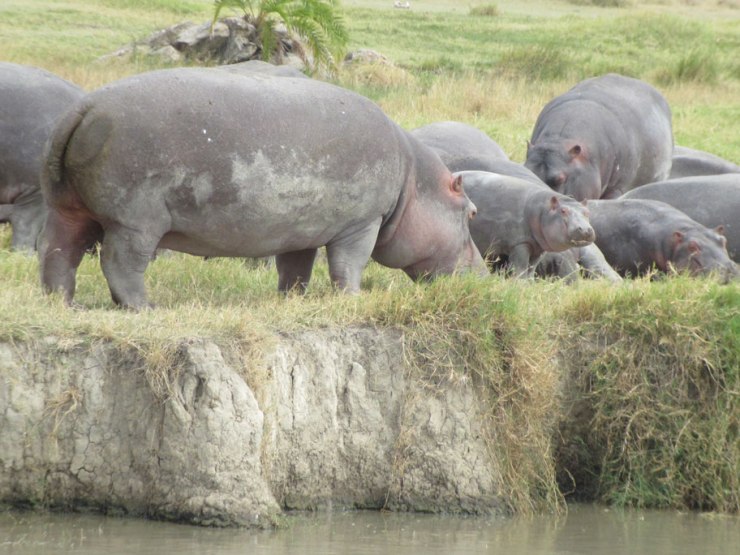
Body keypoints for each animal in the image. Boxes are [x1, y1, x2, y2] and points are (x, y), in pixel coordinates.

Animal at [39, 68, 486, 308]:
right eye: (471, 212)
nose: (485, 275)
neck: (414, 181)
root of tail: (83, 109)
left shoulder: (302, 229)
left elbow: (296, 270)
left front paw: (293, 300)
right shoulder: (363, 222)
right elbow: (349, 266)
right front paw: (353, 301)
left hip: (68, 209)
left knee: (58, 253)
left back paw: (63, 303)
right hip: (135, 221)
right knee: (120, 262)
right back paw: (144, 308)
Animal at [454, 171, 595, 278]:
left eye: (587, 212)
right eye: (563, 211)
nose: (585, 230)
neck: (542, 210)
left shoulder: (538, 248)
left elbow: (531, 270)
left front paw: (529, 284)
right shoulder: (520, 244)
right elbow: (520, 269)